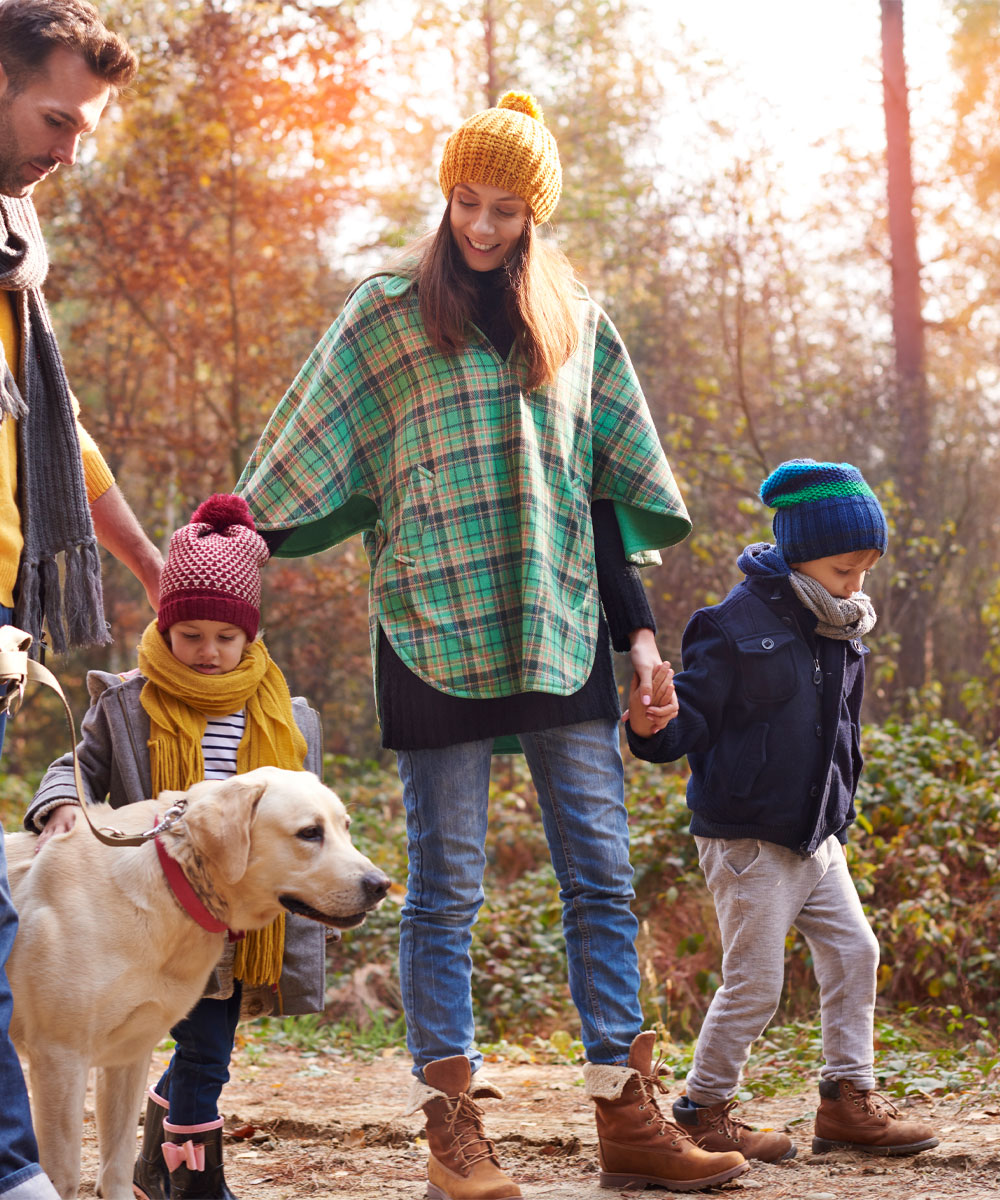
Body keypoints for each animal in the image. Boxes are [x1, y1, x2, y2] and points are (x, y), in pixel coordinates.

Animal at [4, 763, 388, 1195]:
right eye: (309, 832)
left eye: (346, 827)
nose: (382, 885)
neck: (172, 880)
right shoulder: (60, 1056)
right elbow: (64, 1173)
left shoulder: (128, 1055)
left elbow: (117, 1161)